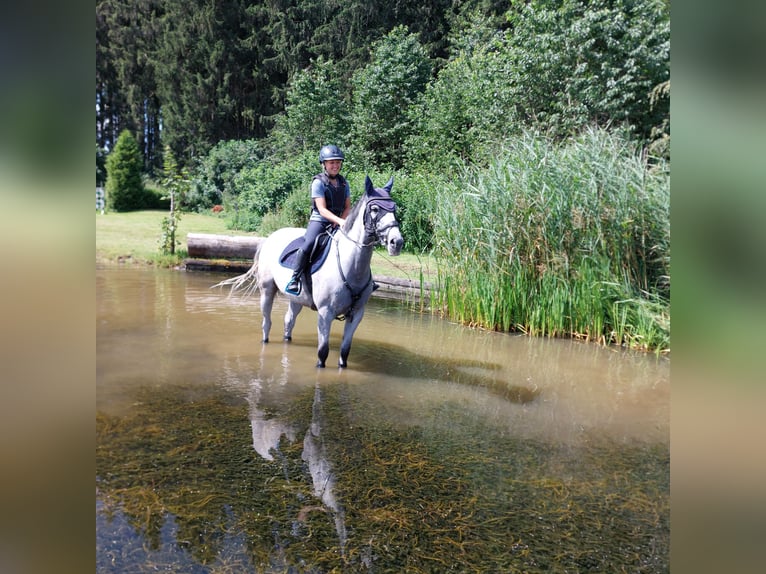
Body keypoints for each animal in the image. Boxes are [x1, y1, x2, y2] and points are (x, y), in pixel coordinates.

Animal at [214, 175, 404, 368]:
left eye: (394, 208)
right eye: (375, 209)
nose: (397, 242)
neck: (352, 267)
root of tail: (270, 237)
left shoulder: (357, 314)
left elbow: (345, 351)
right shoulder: (325, 313)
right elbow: (323, 352)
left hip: (296, 299)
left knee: (288, 321)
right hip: (267, 291)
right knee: (266, 323)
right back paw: (265, 341)